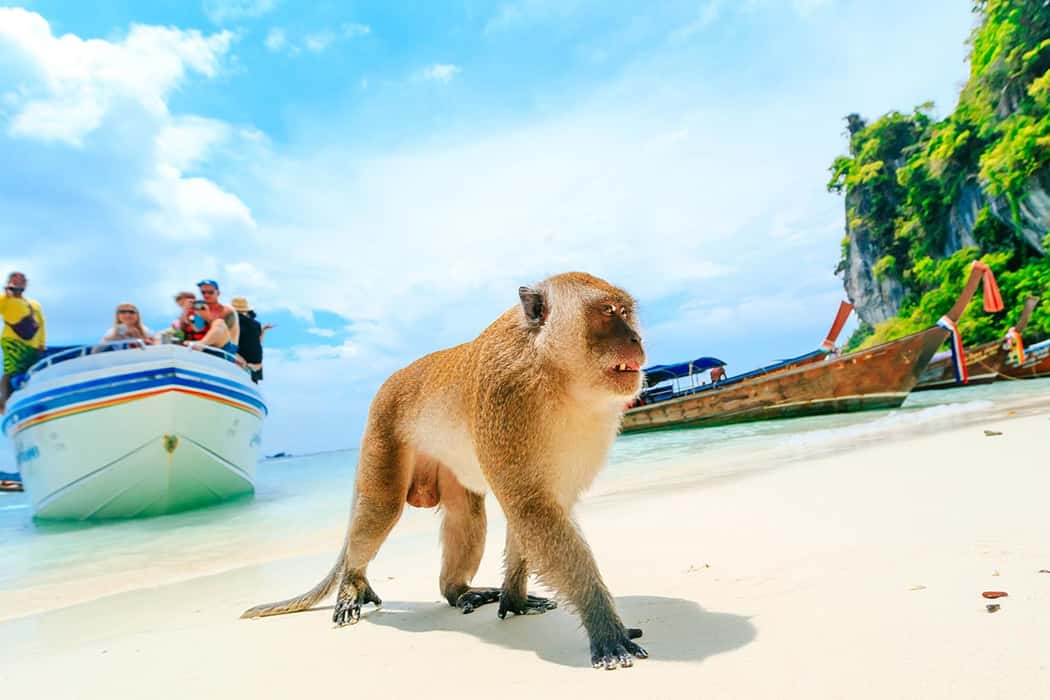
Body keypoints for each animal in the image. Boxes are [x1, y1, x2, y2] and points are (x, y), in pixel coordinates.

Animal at [242, 272, 649, 670]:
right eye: (608, 312)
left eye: (625, 313)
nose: (636, 338)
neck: (554, 371)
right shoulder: (506, 397)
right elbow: (531, 508)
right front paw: (605, 626)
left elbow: (534, 511)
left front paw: (515, 600)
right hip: (382, 433)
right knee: (381, 509)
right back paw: (352, 584)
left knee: (466, 514)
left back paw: (458, 591)